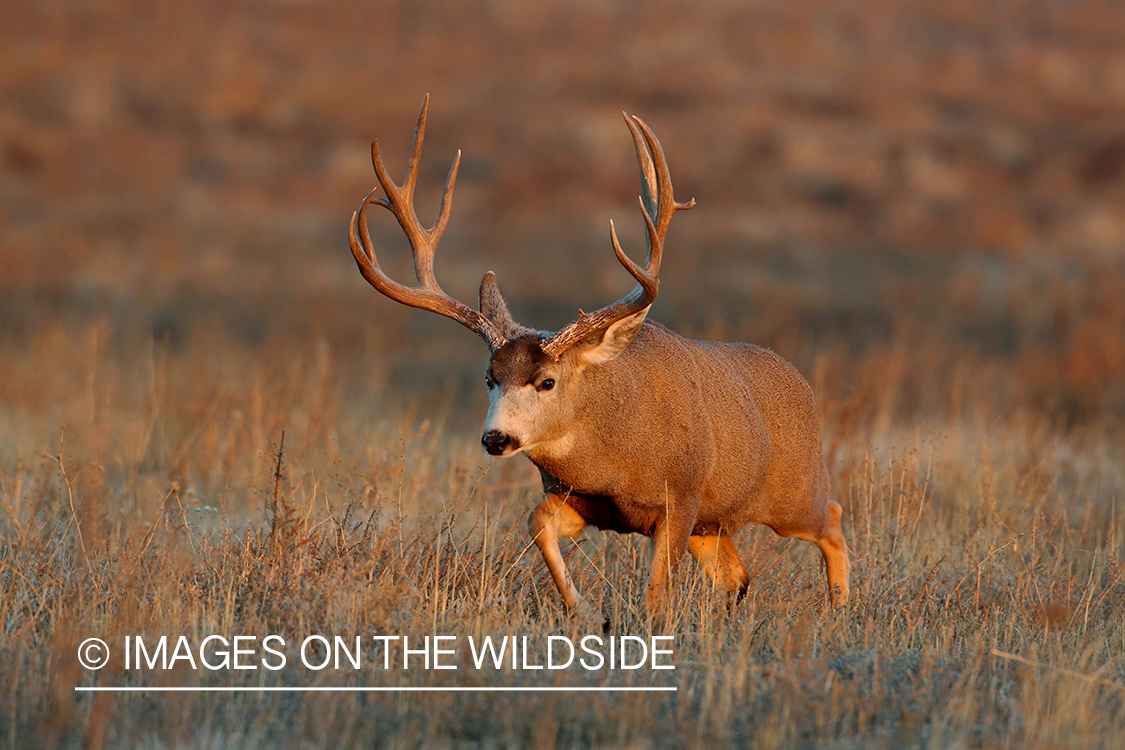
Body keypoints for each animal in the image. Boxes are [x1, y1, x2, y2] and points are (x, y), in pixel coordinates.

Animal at [349, 97, 850, 615]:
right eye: (488, 377)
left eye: (547, 380)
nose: (496, 438)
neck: (611, 462)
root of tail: (800, 382)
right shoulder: (579, 499)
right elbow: (536, 523)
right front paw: (584, 610)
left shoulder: (682, 498)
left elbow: (656, 595)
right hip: (715, 525)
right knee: (737, 576)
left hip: (792, 493)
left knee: (831, 519)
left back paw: (839, 608)